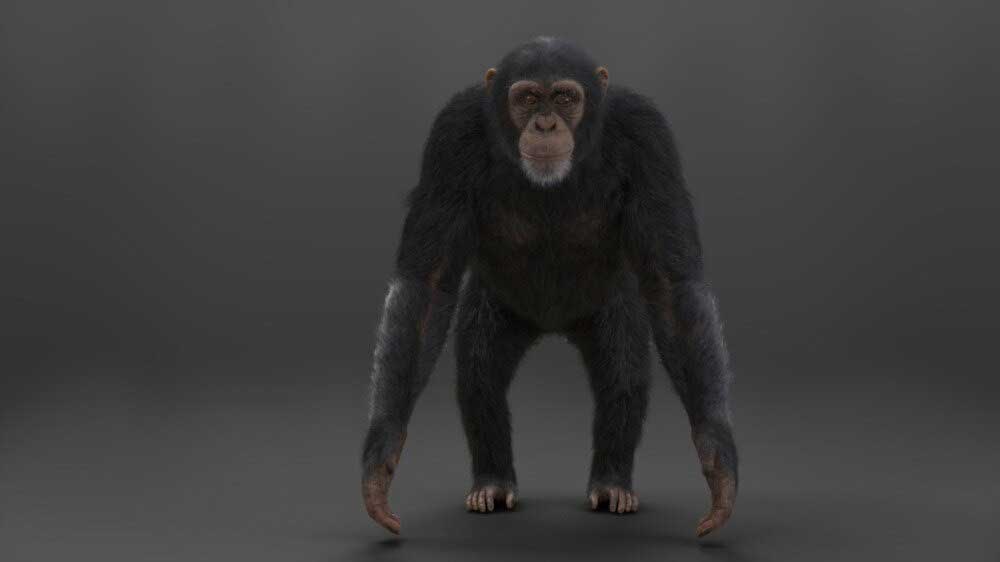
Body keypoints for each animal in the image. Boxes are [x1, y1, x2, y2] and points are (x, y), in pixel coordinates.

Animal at [361, 36, 738, 538]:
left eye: (563, 97)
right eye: (525, 98)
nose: (544, 123)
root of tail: (553, 327)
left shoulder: (648, 137)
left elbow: (673, 286)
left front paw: (717, 459)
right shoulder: (450, 136)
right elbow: (426, 284)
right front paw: (383, 453)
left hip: (613, 304)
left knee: (623, 375)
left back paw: (612, 483)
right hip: (495, 306)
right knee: (481, 374)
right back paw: (493, 482)